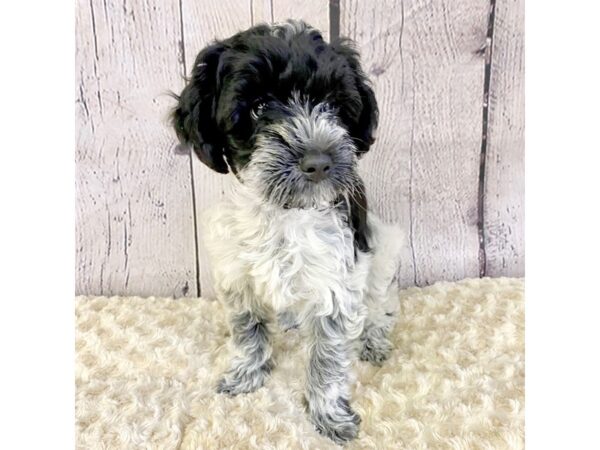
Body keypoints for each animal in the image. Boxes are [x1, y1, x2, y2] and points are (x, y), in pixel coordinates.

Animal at [169, 20, 404, 442]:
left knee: (383, 303)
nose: (319, 161)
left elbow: (327, 357)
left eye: (333, 106)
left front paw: (329, 414)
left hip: (385, 249)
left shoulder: (335, 283)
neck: (284, 213)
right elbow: (247, 330)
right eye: (259, 107)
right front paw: (246, 375)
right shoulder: (236, 274)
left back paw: (374, 341)